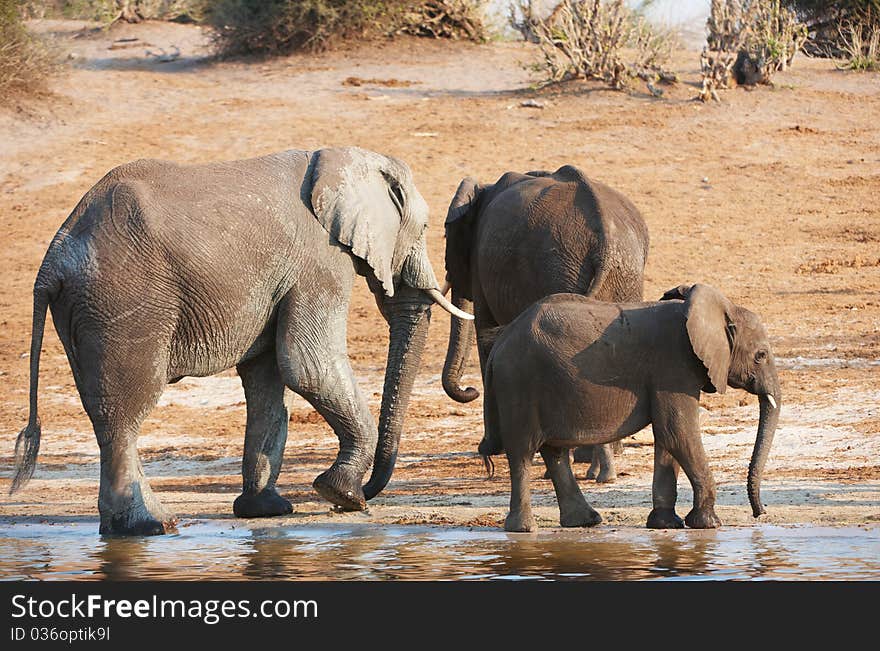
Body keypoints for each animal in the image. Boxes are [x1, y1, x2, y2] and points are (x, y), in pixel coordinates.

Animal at [10, 146, 470, 536]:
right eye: (425, 227)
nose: (368, 493)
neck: (338, 158)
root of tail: (52, 258)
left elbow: (267, 382)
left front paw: (266, 511)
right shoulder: (320, 262)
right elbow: (308, 366)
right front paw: (341, 494)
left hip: (86, 309)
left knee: (104, 411)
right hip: (122, 301)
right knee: (126, 411)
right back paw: (151, 527)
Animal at [444, 167, 648, 484]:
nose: (469, 390)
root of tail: (606, 240)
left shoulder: (479, 267)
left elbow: (485, 336)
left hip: (558, 268)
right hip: (623, 275)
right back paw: (600, 466)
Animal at [478, 286, 780, 536]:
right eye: (761, 355)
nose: (760, 513)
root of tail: (500, 343)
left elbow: (667, 438)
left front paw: (665, 524)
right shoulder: (674, 367)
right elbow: (678, 433)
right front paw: (709, 524)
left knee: (554, 452)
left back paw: (585, 521)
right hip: (518, 384)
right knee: (523, 452)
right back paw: (524, 529)